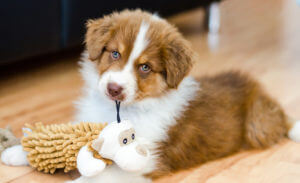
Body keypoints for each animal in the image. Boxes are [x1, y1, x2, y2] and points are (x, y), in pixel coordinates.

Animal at [2, 9, 300, 183]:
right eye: (115, 53)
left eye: (145, 67)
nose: (114, 89)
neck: (120, 109)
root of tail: (257, 89)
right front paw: (17, 152)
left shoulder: (144, 159)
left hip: (259, 126)